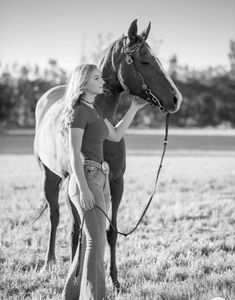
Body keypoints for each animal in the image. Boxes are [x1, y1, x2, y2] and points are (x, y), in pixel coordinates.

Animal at [34, 18, 183, 288]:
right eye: (145, 61)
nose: (176, 99)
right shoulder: (74, 183)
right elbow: (75, 231)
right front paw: (75, 278)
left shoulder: (116, 182)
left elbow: (111, 232)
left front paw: (114, 280)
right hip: (50, 176)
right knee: (54, 216)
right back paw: (48, 263)